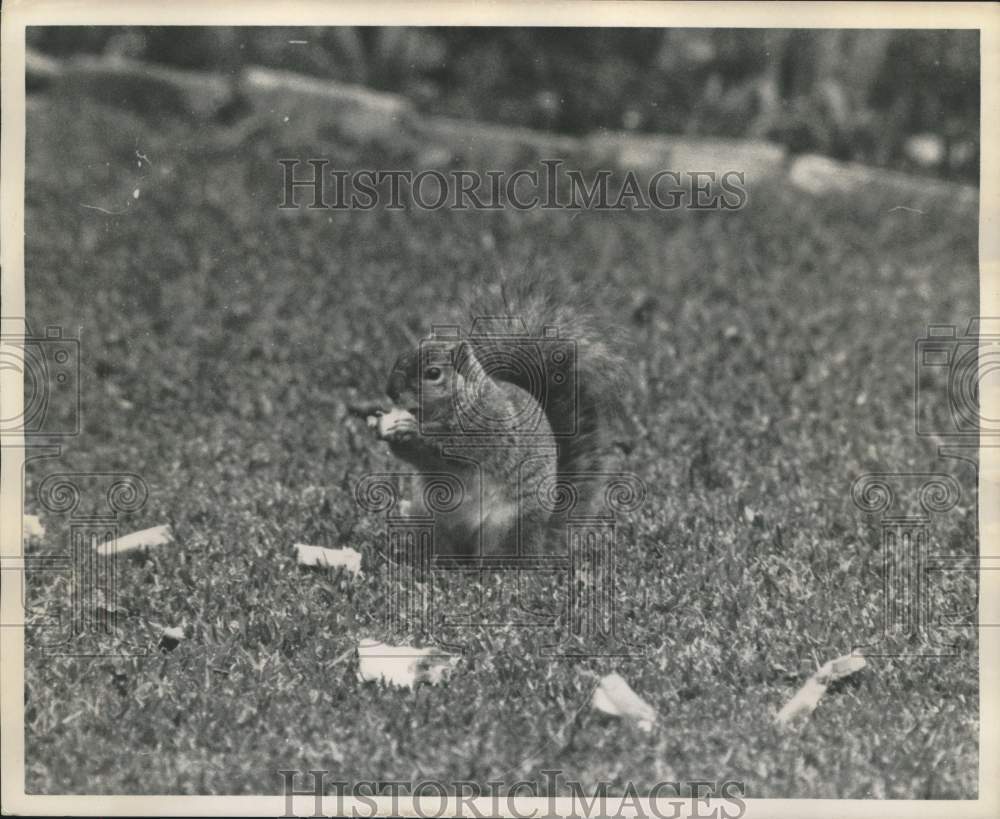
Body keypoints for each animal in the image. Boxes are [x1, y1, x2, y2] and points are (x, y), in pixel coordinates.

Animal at [363, 277, 627, 557]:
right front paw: (380, 422)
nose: (391, 390)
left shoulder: (489, 428)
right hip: (430, 519)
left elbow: (455, 449)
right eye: (401, 357)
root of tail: (541, 541)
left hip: (505, 530)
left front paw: (410, 429)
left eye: (433, 373)